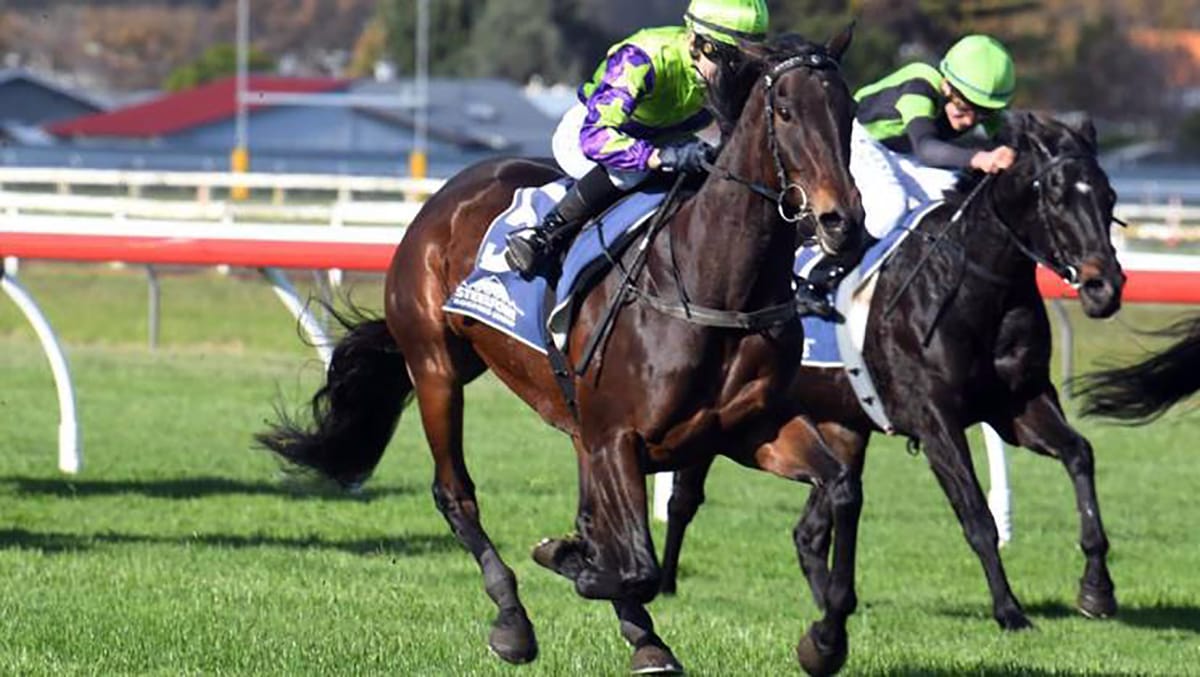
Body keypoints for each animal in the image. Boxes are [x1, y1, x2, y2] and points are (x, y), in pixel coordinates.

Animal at [258, 30, 866, 676]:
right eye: (786, 111)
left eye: (849, 112)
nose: (842, 222)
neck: (713, 285)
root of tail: (448, 194)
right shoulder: (617, 438)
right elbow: (636, 564)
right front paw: (566, 559)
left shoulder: (748, 429)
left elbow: (840, 489)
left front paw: (825, 639)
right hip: (435, 366)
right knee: (456, 494)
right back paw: (513, 620)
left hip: (558, 413)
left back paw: (642, 638)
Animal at [660, 112, 1127, 634]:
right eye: (1058, 196)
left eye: (1108, 197)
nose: (1105, 287)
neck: (971, 287)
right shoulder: (935, 420)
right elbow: (976, 517)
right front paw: (1009, 610)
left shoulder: (1018, 405)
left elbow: (1080, 455)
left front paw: (1097, 589)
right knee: (684, 497)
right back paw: (665, 582)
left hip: (841, 425)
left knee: (809, 529)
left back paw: (828, 604)